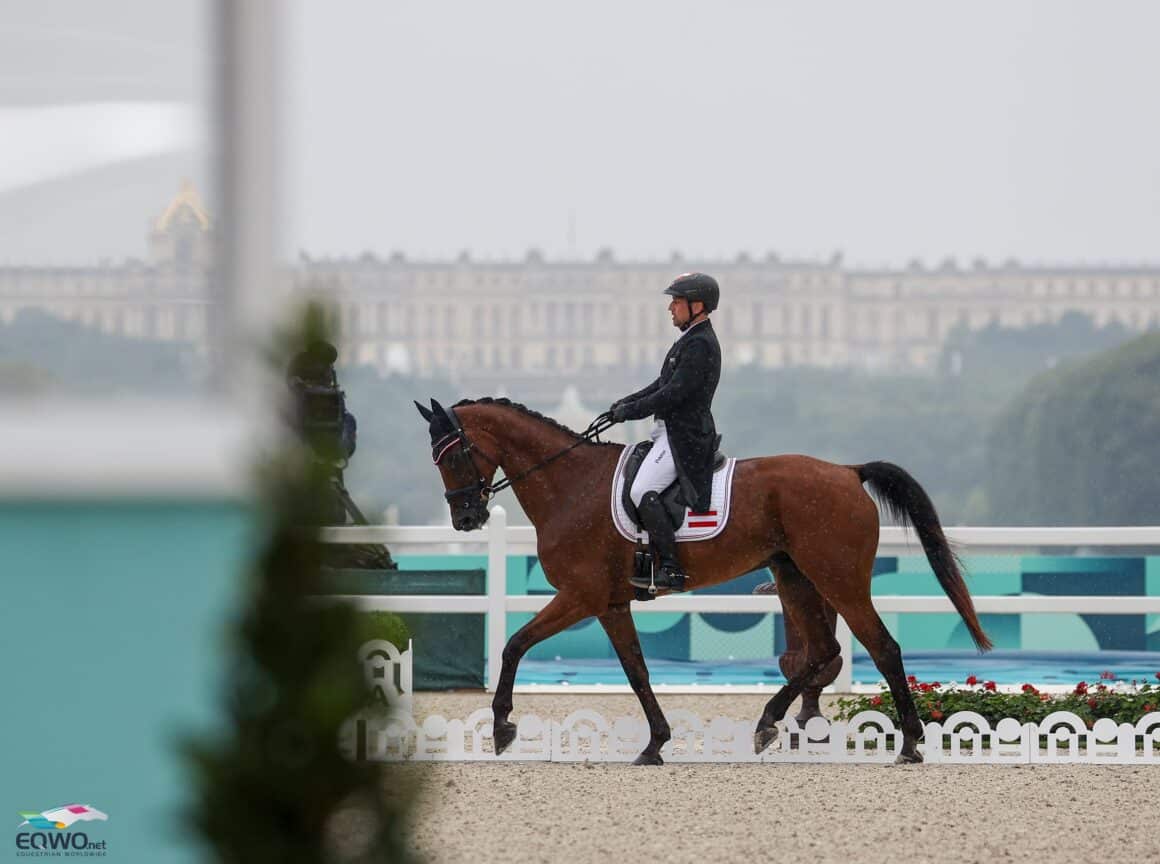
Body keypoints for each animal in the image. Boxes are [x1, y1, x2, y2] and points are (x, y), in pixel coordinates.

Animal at [412, 391, 992, 760]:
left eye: (454, 455)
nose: (466, 519)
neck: (570, 485)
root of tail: (849, 473)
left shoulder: (580, 596)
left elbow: (513, 644)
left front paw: (502, 726)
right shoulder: (610, 603)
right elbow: (637, 671)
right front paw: (654, 743)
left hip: (838, 581)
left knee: (881, 647)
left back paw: (910, 744)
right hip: (795, 579)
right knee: (823, 653)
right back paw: (769, 724)